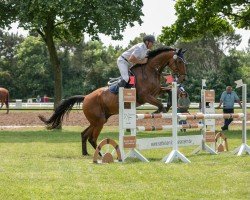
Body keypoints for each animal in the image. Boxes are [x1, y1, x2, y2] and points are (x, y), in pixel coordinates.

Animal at [39, 47, 187, 156]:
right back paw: (101, 155)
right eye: (179, 62)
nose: (183, 79)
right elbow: (159, 104)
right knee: (92, 138)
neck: (150, 70)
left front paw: (168, 105)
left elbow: (168, 91)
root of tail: (86, 97)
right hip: (99, 120)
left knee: (84, 134)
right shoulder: (145, 96)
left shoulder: (157, 91)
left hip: (99, 120)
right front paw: (157, 111)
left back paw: (86, 153)